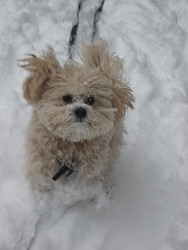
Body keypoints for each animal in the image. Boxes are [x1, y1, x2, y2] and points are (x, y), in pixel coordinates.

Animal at [19, 40, 134, 193]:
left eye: (91, 99)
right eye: (66, 98)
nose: (80, 111)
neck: (71, 144)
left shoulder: (90, 171)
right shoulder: (40, 169)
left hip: (112, 146)